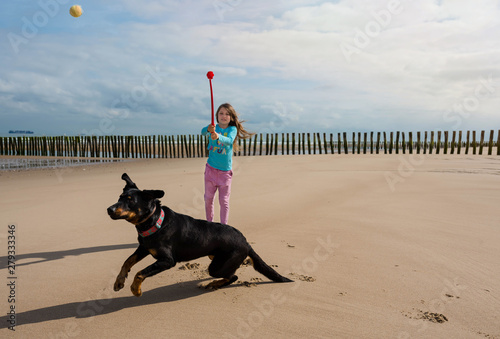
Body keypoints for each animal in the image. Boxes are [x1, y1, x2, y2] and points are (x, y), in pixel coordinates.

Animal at [107, 174, 292, 296]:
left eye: (130, 200)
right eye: (120, 197)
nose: (109, 209)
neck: (154, 223)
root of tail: (246, 241)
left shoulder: (167, 260)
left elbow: (140, 272)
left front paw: (135, 289)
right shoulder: (144, 248)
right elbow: (127, 262)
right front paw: (119, 282)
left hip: (217, 266)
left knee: (233, 276)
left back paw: (214, 284)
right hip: (214, 257)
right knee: (232, 274)